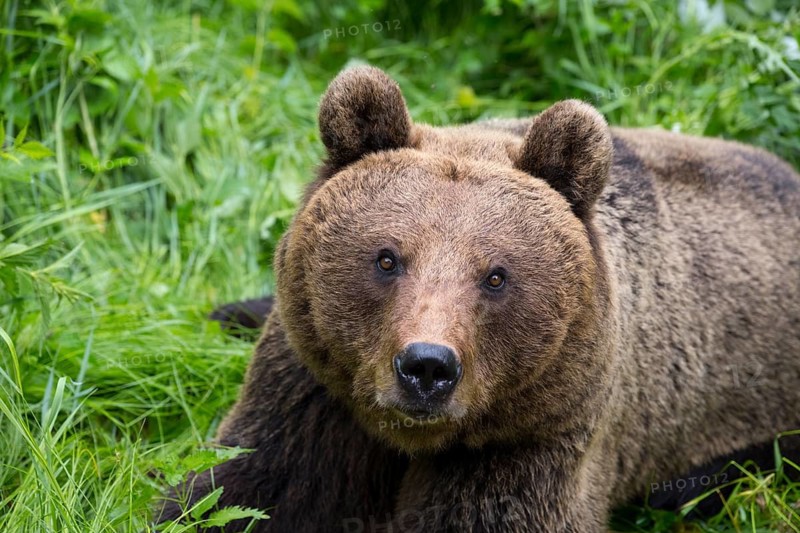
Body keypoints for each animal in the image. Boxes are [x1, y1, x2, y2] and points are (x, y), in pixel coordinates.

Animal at [158, 66, 800, 532]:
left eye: (496, 276)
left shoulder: (535, 434)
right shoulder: (315, 391)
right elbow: (247, 486)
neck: (410, 438)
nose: (426, 366)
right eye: (387, 258)